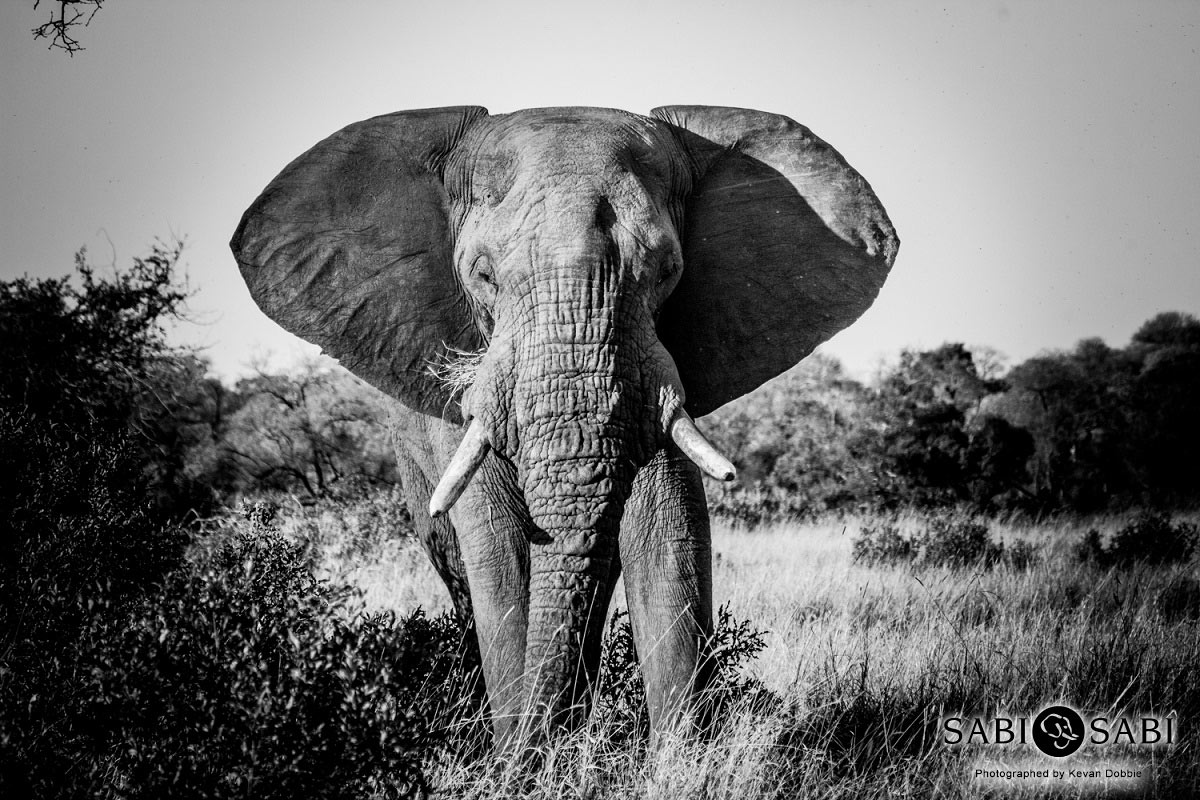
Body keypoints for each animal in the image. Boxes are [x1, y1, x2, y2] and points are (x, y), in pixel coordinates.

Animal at [230, 105, 897, 749]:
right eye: (482, 275)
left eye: (667, 271)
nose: (537, 751)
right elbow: (502, 552)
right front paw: (520, 761)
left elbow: (669, 529)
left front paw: (680, 762)